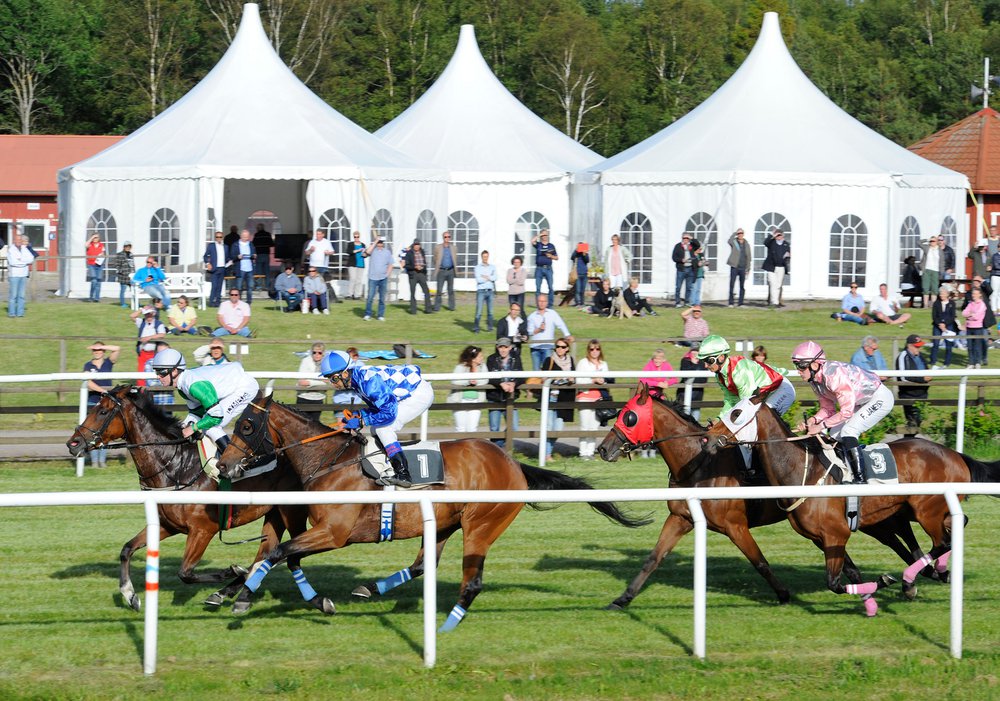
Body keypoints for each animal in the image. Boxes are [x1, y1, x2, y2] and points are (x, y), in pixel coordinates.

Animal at [65, 386, 306, 608]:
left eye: (103, 412)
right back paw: (228, 591)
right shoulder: (167, 525)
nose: (73, 443)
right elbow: (127, 549)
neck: (177, 468)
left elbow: (185, 573)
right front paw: (130, 595)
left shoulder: (202, 530)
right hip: (275, 512)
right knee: (267, 553)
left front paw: (230, 571)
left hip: (291, 511)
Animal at [216, 394, 648, 628]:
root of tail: (513, 463)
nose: (223, 465)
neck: (330, 461)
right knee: (424, 564)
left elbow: (276, 553)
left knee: (463, 576)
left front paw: (241, 598)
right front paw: (239, 590)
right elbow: (284, 556)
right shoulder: (317, 529)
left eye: (248, 426)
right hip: (442, 523)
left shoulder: (334, 534)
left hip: (480, 524)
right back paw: (370, 588)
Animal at [596, 382, 940, 608]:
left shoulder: (735, 525)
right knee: (898, 537)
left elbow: (760, 562)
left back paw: (926, 574)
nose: (603, 449)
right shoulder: (681, 517)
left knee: (900, 536)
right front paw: (622, 599)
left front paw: (784, 594)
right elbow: (653, 559)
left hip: (875, 516)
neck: (698, 465)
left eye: (629, 416)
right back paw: (923, 576)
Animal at [704, 396, 1000, 616]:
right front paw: (871, 603)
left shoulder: (836, 533)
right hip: (916, 512)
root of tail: (955, 455)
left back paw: (910, 579)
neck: (802, 471)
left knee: (943, 541)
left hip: (926, 510)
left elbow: (834, 582)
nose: (708, 438)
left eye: (736, 413)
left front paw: (885, 582)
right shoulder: (822, 538)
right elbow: (850, 573)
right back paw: (938, 572)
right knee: (954, 527)